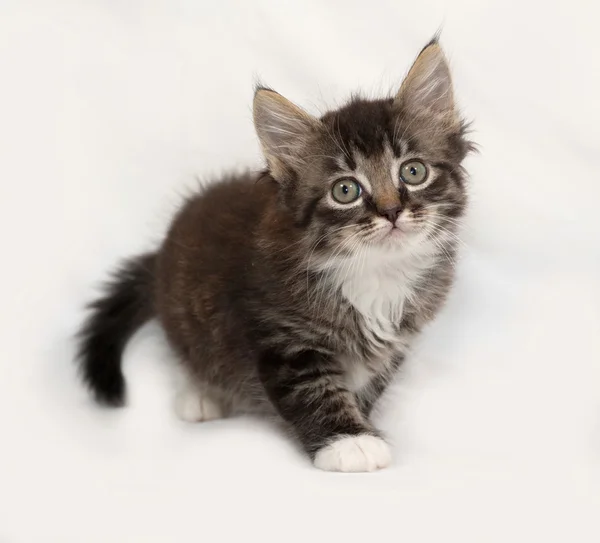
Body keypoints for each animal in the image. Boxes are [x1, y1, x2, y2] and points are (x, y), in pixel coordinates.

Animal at [77, 39, 474, 472]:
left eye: (413, 172)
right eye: (346, 191)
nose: (390, 212)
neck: (375, 271)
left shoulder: (396, 343)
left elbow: (367, 383)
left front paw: (362, 422)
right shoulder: (280, 335)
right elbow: (312, 391)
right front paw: (349, 442)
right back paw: (202, 395)